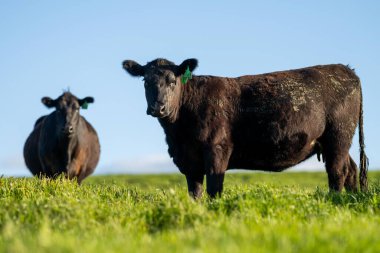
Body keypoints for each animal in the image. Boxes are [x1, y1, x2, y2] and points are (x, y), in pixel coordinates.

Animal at [123, 57, 370, 198]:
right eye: (145, 81)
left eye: (173, 81)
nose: (158, 107)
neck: (178, 135)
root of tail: (347, 69)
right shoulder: (189, 160)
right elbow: (195, 192)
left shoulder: (217, 149)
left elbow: (214, 187)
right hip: (333, 143)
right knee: (351, 169)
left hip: (338, 136)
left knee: (337, 172)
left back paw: (336, 201)